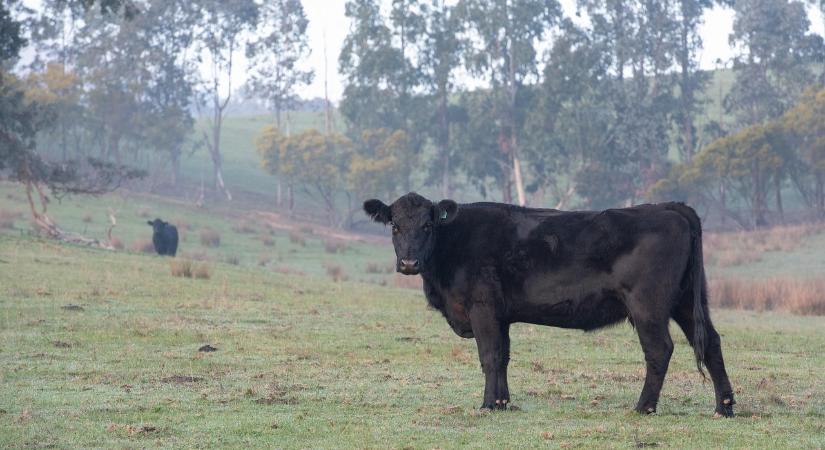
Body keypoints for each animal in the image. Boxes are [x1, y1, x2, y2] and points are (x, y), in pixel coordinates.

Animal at [366, 193, 732, 418]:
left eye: (427, 225)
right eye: (395, 226)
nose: (409, 263)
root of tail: (668, 206)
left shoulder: (482, 307)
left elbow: (489, 356)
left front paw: (487, 405)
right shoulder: (501, 315)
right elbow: (503, 357)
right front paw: (502, 402)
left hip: (648, 306)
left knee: (659, 350)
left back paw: (643, 407)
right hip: (686, 300)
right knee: (712, 343)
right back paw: (724, 407)